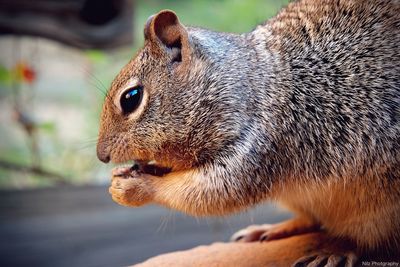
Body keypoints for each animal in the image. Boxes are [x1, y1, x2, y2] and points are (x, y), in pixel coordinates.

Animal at [97, 0, 400, 266]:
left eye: (131, 98)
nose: (102, 156)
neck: (249, 84)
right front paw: (129, 173)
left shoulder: (259, 149)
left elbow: (208, 194)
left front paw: (137, 188)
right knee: (312, 220)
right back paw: (270, 230)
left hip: (376, 209)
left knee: (366, 242)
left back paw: (335, 250)